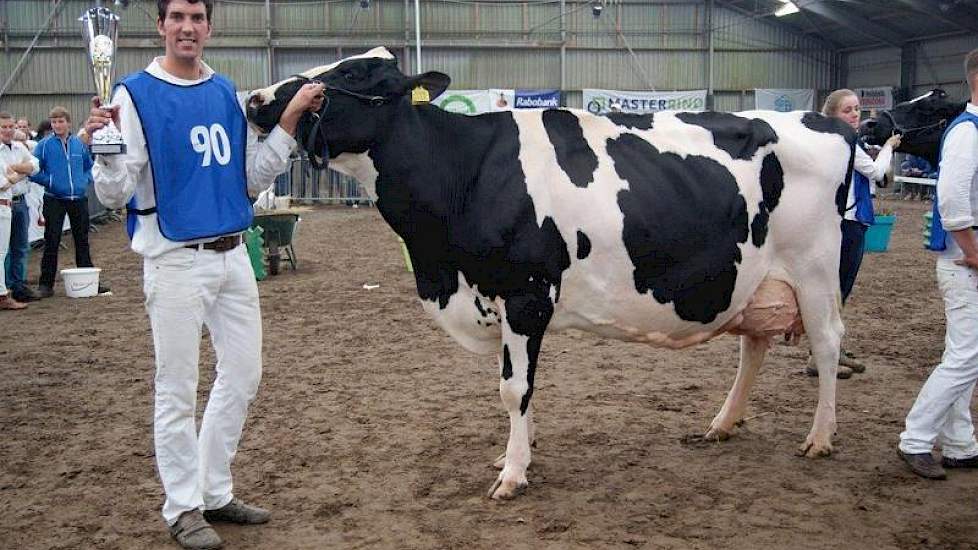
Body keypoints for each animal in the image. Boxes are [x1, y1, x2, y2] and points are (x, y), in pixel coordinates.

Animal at [250, 49, 856, 502]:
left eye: (351, 74)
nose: (256, 100)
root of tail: (825, 121)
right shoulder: (497, 299)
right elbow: (516, 386)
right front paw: (516, 452)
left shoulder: (526, 293)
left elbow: (513, 387)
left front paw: (513, 473)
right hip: (757, 279)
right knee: (754, 344)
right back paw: (723, 423)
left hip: (815, 268)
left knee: (827, 343)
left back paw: (821, 437)